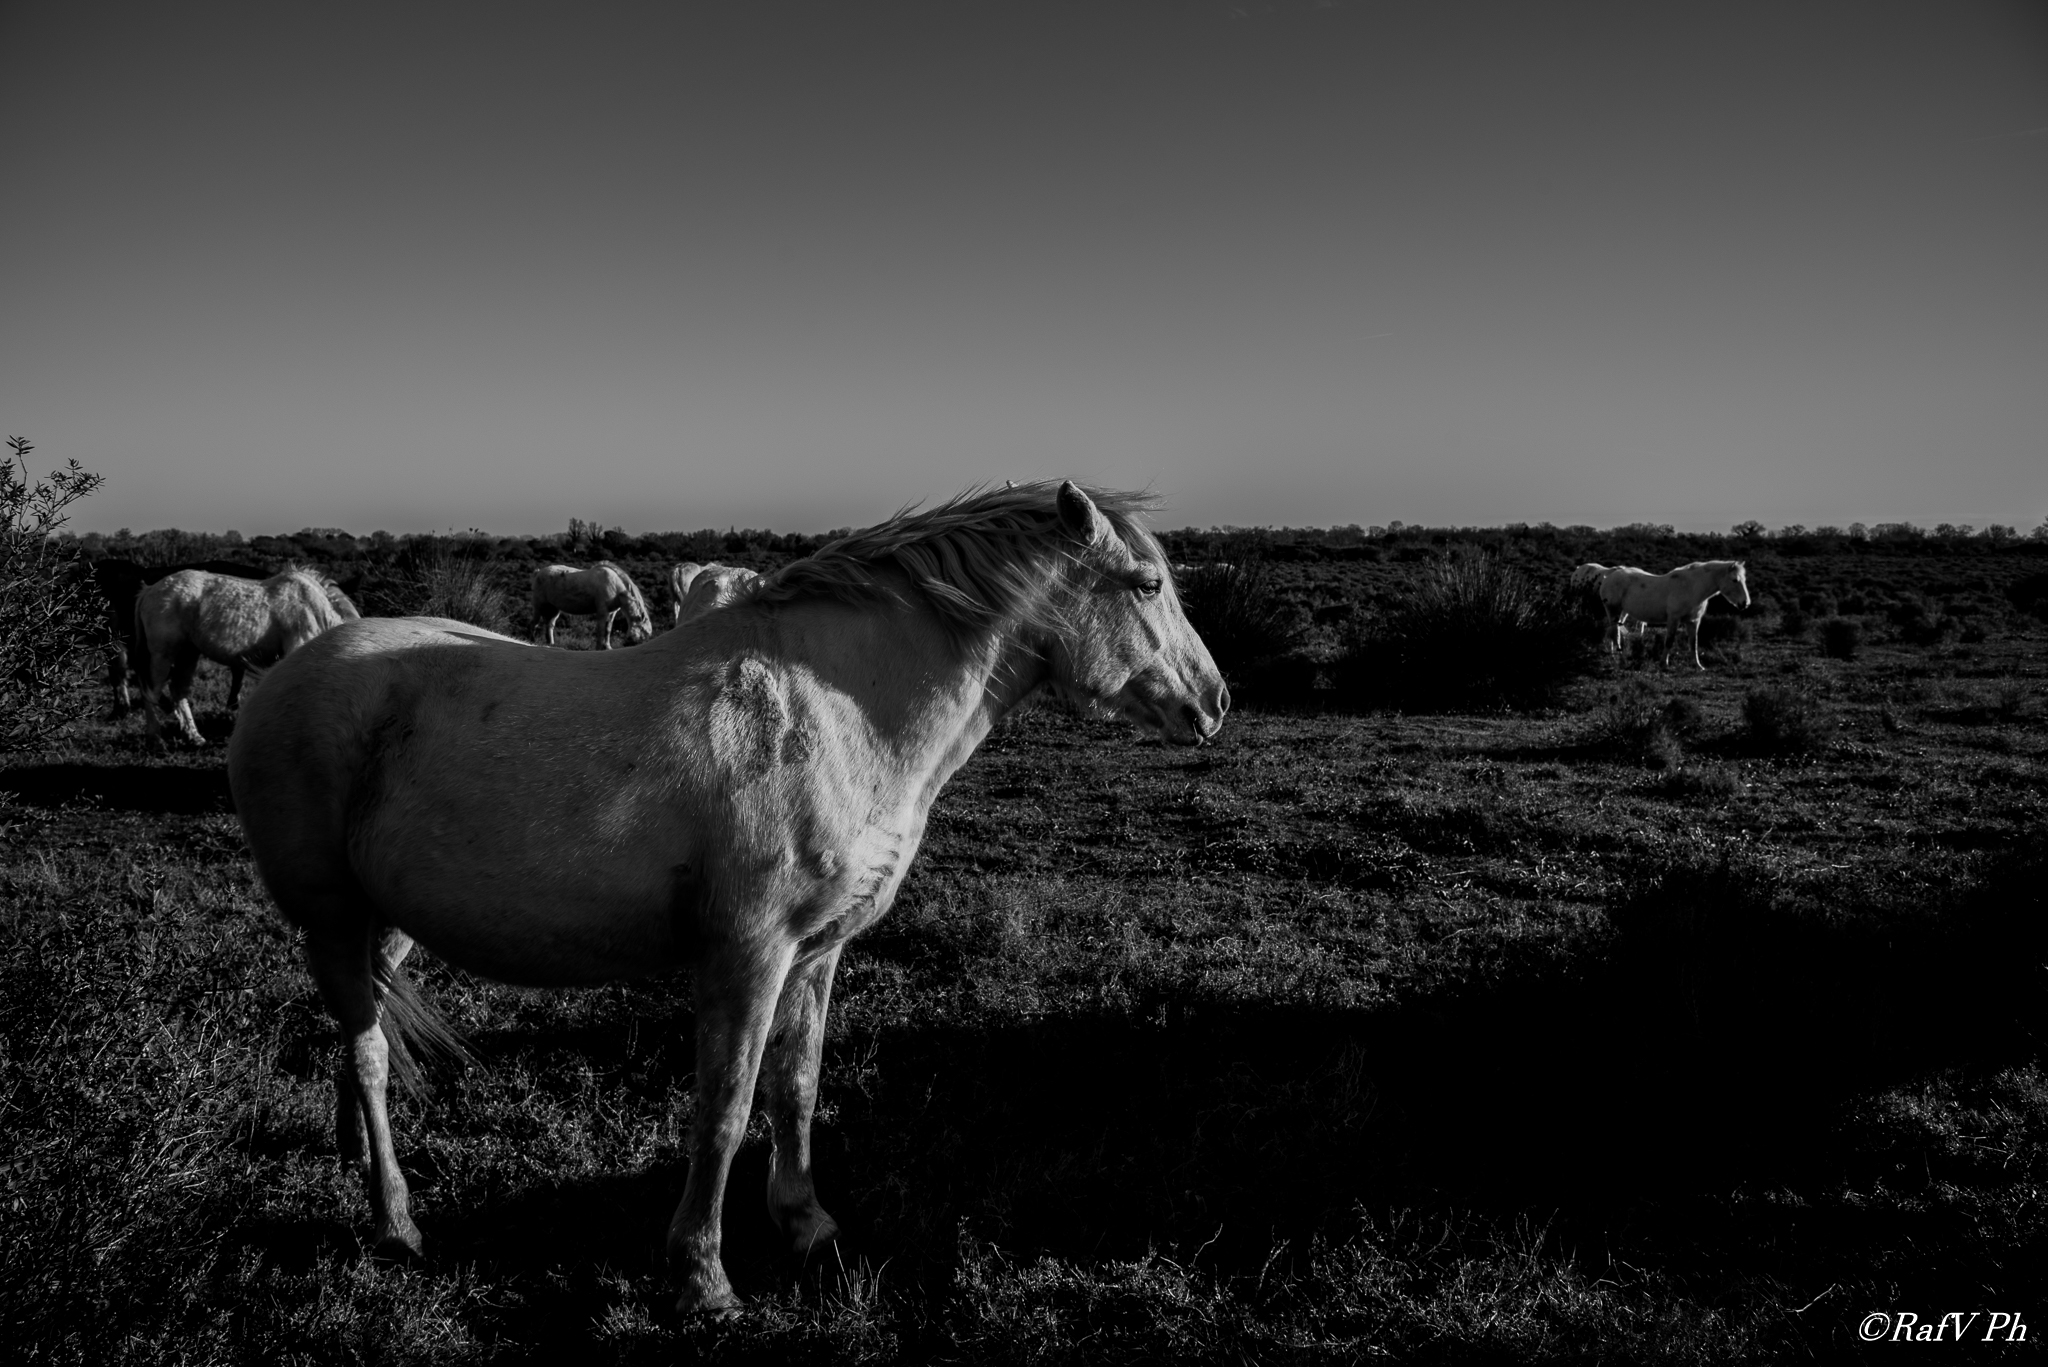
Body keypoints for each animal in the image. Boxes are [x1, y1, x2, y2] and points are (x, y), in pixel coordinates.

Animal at [135, 567, 359, 743]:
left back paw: (194, 736)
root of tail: (149, 590)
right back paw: (155, 738)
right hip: (163, 654)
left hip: (188, 653)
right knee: (151, 691)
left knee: (178, 691)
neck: (316, 609)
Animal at [226, 481, 1228, 1314]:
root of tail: (292, 669)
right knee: (367, 1053)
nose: (1214, 701)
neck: (836, 713)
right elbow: (727, 1106)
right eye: (1146, 584)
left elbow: (796, 1087)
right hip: (329, 917)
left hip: (386, 923)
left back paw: (356, 1157)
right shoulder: (748, 954)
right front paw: (702, 1275)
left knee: (362, 1037)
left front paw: (807, 1224)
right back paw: (394, 1219)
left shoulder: (817, 951)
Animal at [1597, 560, 1750, 669]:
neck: (1692, 587)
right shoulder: (1674, 619)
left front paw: (1698, 665)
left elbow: (1693, 643)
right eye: (1735, 580)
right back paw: (1619, 660)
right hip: (1613, 610)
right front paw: (1663, 664)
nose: (1745, 603)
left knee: (1614, 632)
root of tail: (1608, 576)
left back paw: (1615, 656)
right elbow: (1669, 641)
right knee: (1614, 634)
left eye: (1744, 579)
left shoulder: (1693, 622)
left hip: (1622, 613)